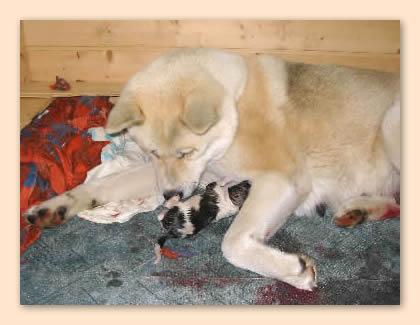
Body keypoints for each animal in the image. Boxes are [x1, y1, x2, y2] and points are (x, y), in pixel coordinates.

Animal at [25, 49, 400, 290]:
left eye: (186, 152)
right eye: (153, 152)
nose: (170, 197)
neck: (235, 105)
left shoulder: (282, 181)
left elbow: (232, 243)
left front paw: (293, 270)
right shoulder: (188, 175)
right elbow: (103, 186)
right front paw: (55, 207)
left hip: (392, 127)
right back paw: (357, 211)